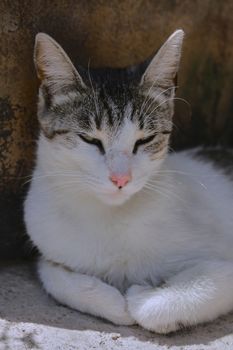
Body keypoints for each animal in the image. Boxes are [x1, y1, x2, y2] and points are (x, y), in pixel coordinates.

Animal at [24, 30, 233, 334]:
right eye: (90, 139)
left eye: (145, 140)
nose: (120, 178)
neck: (109, 217)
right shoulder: (49, 246)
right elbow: (50, 273)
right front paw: (112, 302)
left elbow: (159, 306)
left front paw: (144, 294)